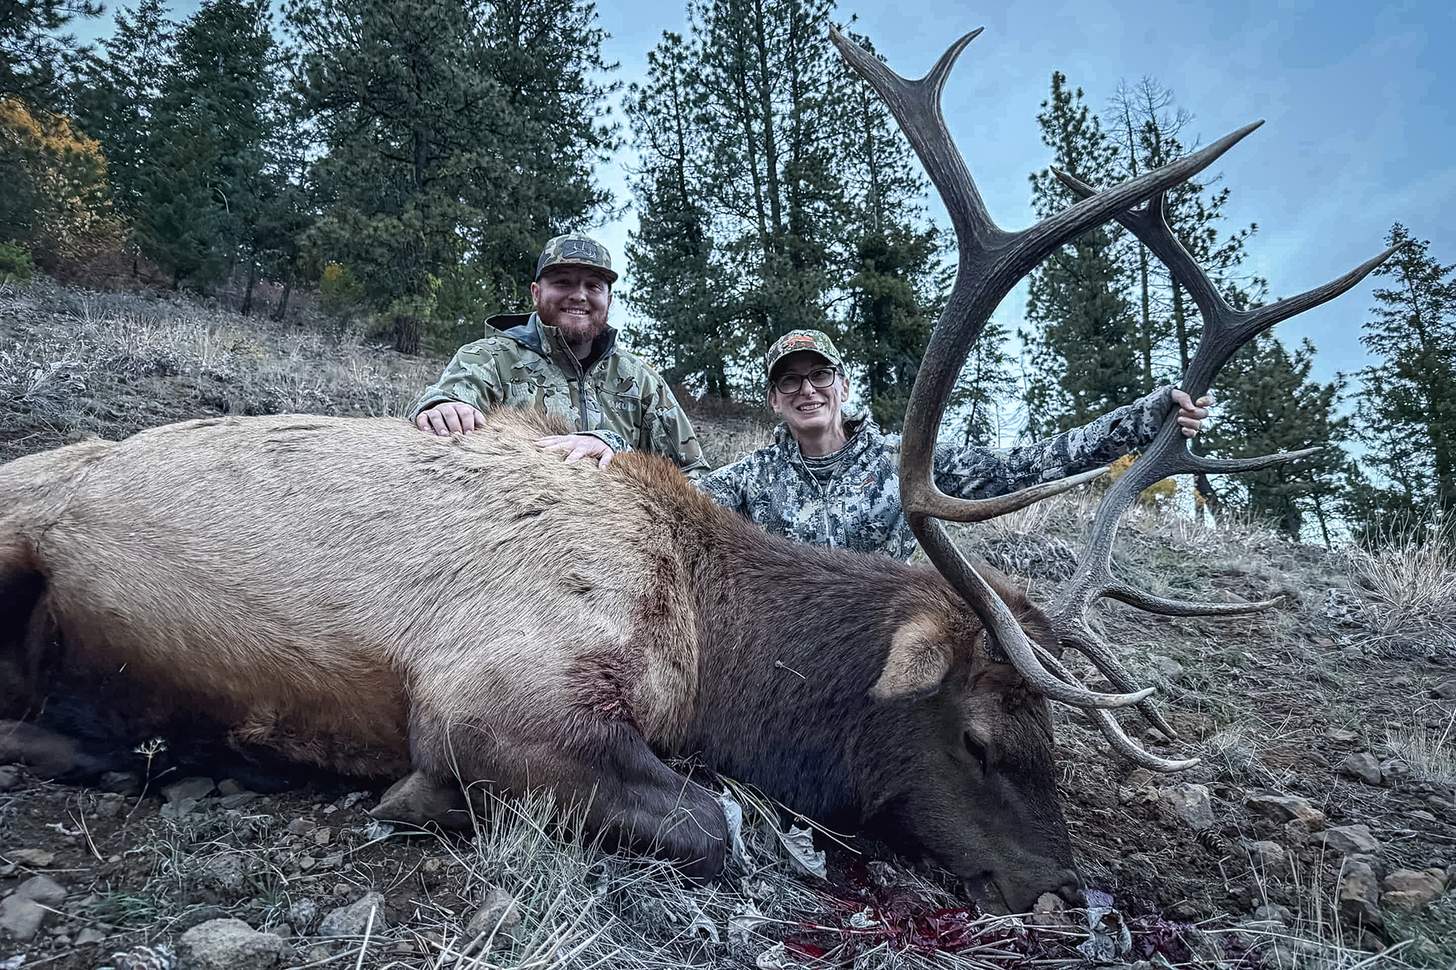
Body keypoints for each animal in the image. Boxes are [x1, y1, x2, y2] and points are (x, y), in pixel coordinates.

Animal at [0, 27, 1393, 913]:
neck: (719, 649)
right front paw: (413, 800)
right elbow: (712, 822)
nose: (1060, 888)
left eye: (1054, 735)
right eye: (980, 731)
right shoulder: (491, 694)